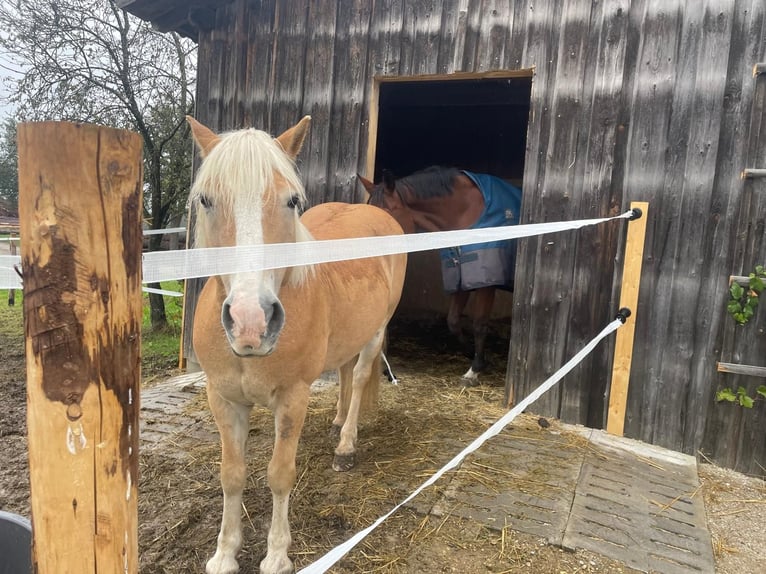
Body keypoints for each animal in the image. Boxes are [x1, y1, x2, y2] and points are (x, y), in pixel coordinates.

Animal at [188, 117, 408, 574]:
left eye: (291, 201)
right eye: (206, 199)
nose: (250, 321)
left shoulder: (293, 399)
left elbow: (279, 474)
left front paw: (276, 555)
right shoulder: (223, 399)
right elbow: (231, 474)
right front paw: (224, 554)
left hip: (375, 332)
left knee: (360, 375)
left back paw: (346, 445)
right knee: (344, 372)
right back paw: (338, 422)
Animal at [362, 169, 520, 390]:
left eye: (386, 217)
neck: (469, 212)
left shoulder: (485, 282)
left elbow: (480, 324)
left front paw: (474, 370)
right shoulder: (460, 276)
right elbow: (452, 321)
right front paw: (474, 355)